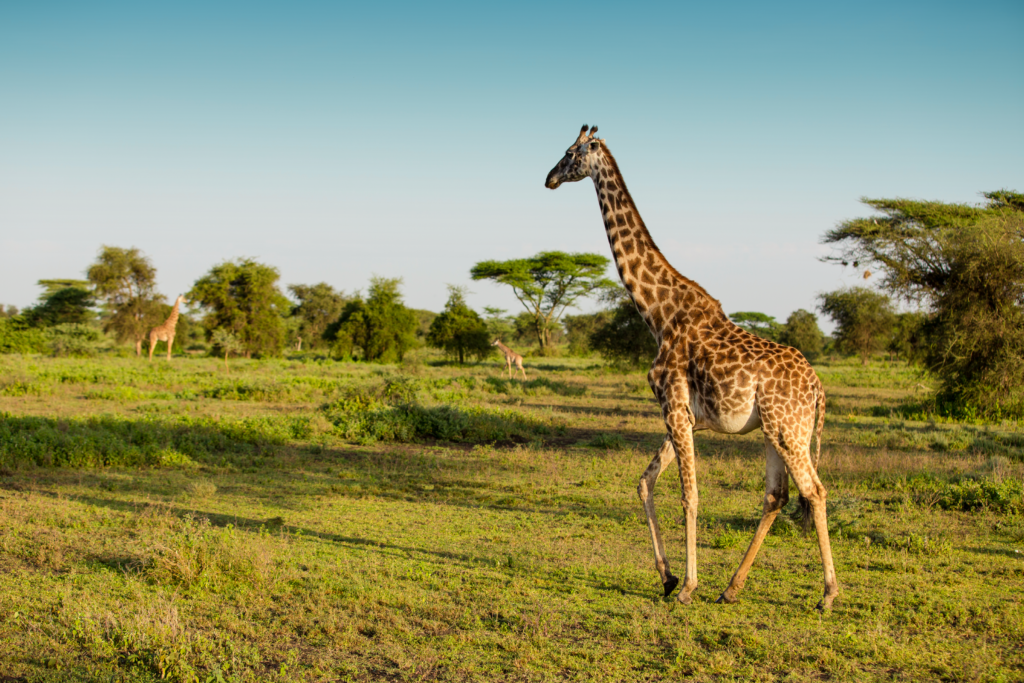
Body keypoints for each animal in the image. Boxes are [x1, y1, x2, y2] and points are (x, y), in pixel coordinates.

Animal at [545, 125, 837, 610]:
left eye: (571, 153)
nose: (548, 177)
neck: (658, 313)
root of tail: (817, 387)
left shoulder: (674, 410)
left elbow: (689, 495)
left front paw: (686, 586)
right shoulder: (684, 416)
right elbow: (644, 483)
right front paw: (666, 577)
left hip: (790, 429)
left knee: (813, 491)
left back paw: (828, 594)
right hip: (773, 431)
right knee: (776, 496)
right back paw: (732, 588)